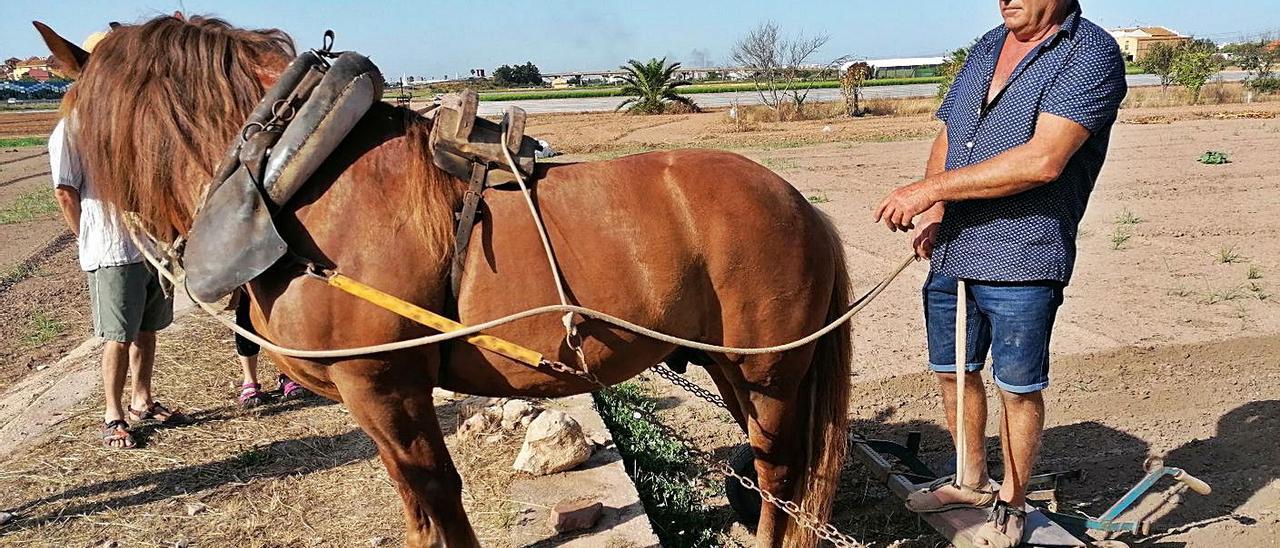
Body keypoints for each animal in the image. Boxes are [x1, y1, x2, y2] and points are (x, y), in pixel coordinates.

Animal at [40, 14, 855, 545]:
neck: (296, 180)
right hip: (732, 369)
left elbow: (435, 492)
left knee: (780, 476)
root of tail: (802, 207)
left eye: (67, 113)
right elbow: (416, 505)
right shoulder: (376, 398)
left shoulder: (384, 386)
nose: (70, 205)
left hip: (769, 371)